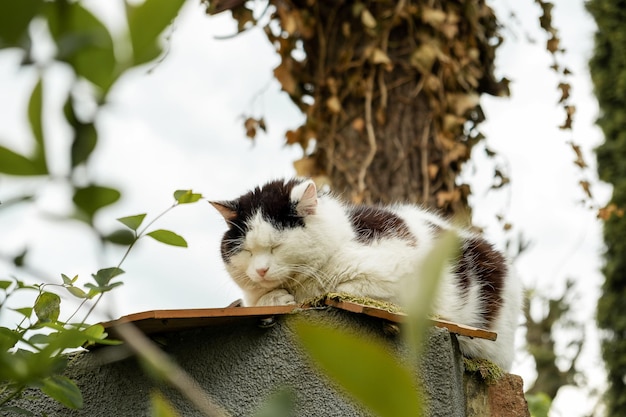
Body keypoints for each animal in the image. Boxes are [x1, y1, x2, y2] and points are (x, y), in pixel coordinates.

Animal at [210, 177, 520, 368]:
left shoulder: (398, 275)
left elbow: (335, 289)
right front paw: (273, 299)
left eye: (276, 246)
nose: (261, 270)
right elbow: (258, 300)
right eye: (247, 251)